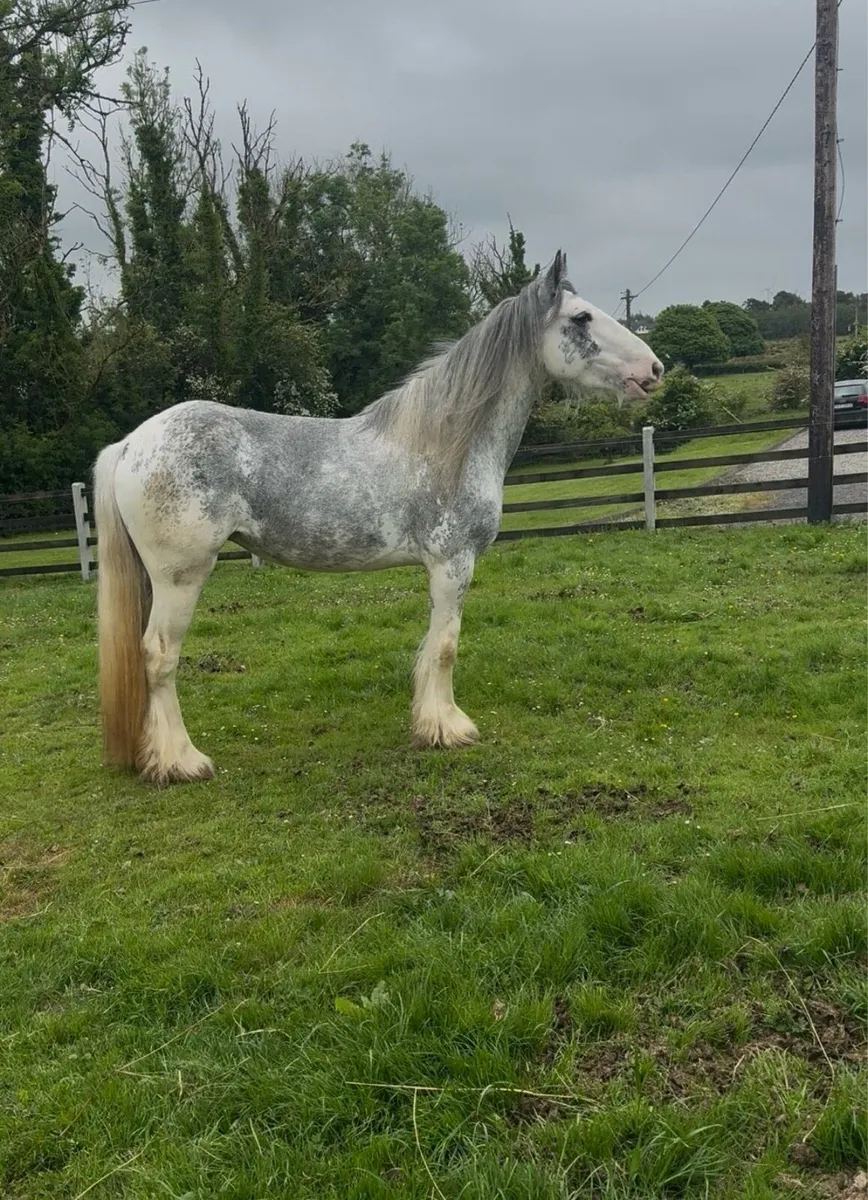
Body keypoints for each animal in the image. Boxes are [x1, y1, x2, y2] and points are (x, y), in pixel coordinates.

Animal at [94, 251, 663, 784]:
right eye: (581, 318)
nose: (654, 369)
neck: (444, 445)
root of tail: (132, 444)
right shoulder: (453, 564)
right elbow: (446, 647)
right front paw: (449, 728)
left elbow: (432, 645)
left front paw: (431, 723)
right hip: (180, 578)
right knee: (158, 657)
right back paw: (181, 761)